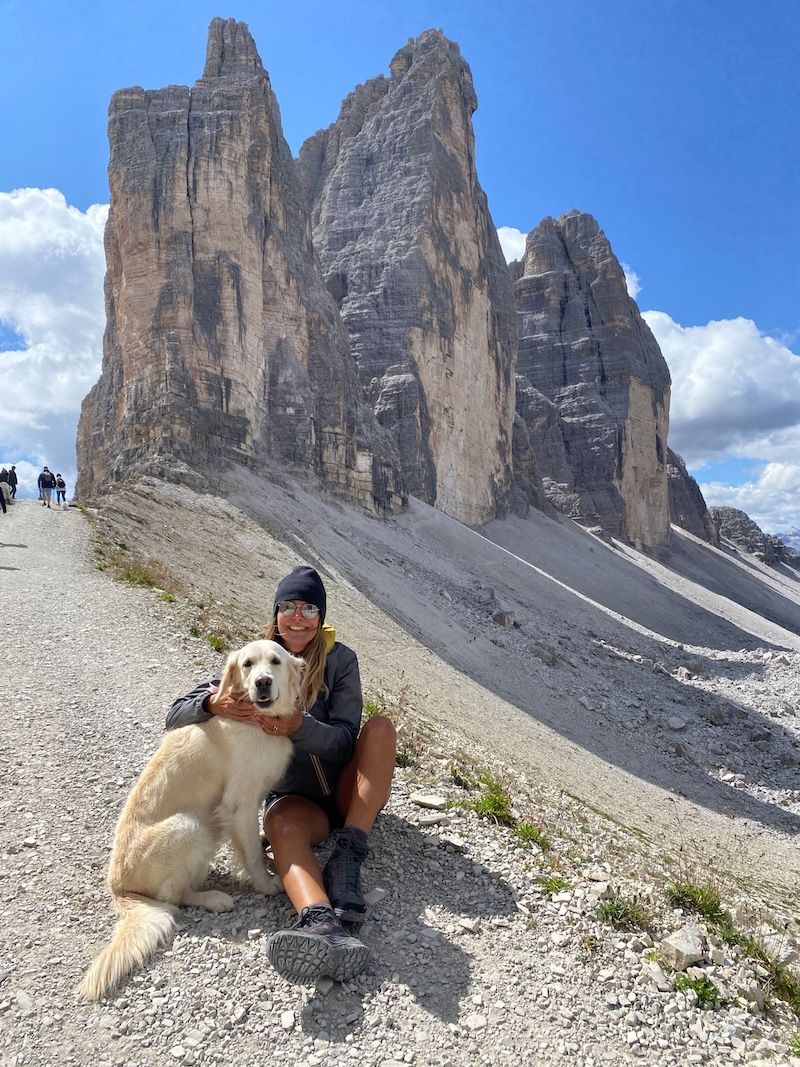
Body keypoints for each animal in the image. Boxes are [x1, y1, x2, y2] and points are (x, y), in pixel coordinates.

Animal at [78, 640, 302, 998]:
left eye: (275, 662)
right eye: (247, 664)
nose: (262, 682)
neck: (258, 719)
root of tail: (118, 889)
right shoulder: (240, 802)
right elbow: (253, 855)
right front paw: (267, 884)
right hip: (191, 828)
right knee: (174, 899)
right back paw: (215, 898)